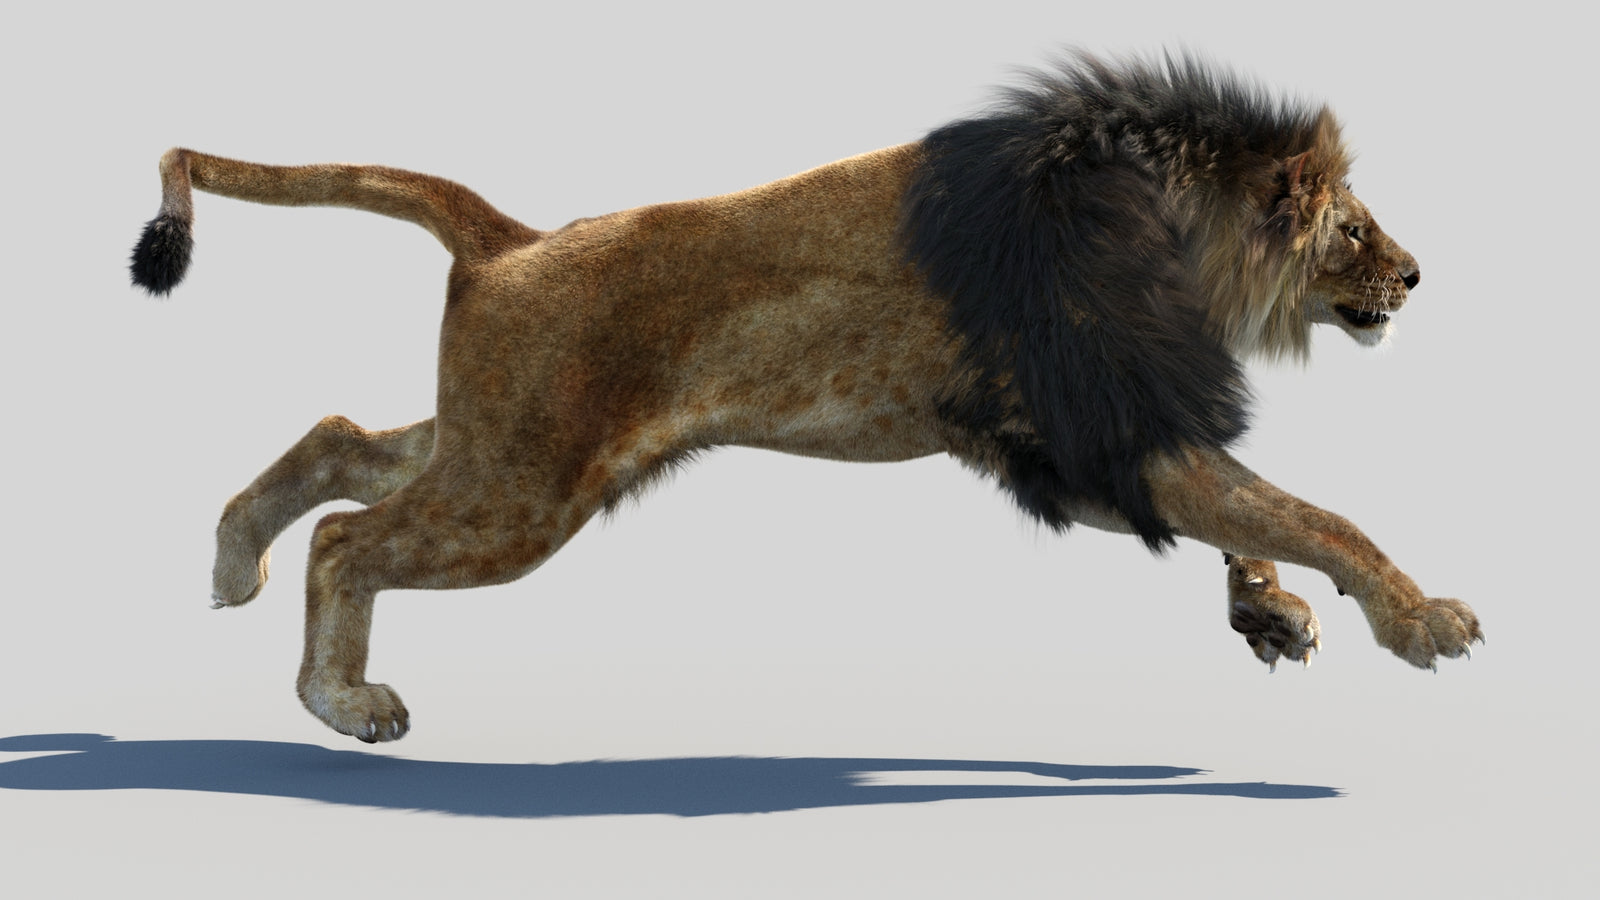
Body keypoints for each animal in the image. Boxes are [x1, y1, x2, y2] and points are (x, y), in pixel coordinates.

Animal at [130, 53, 1481, 743]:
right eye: (1353, 228)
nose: (1417, 274)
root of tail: (513, 240)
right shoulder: (1104, 428)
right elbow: (1317, 513)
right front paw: (1421, 621)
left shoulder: (1064, 446)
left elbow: (1259, 522)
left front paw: (1273, 611)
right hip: (521, 490)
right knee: (351, 538)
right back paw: (339, 697)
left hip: (505, 442)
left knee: (341, 440)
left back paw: (231, 560)